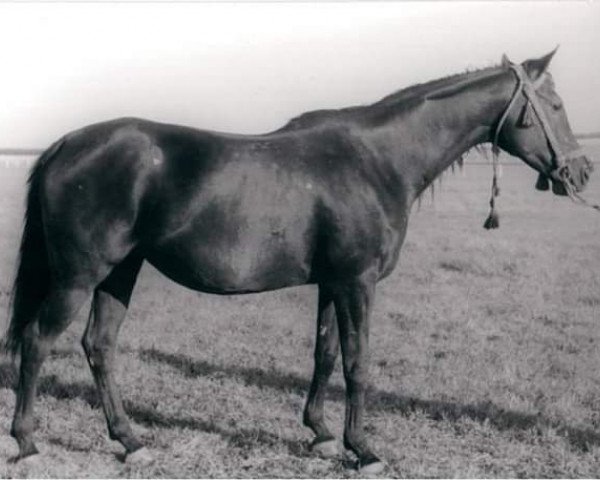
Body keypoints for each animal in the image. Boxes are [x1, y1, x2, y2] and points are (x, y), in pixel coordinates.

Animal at [3, 50, 596, 470]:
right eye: (557, 106)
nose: (580, 172)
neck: (378, 159)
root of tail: (65, 144)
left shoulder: (333, 284)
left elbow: (326, 354)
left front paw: (322, 434)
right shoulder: (357, 282)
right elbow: (358, 362)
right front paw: (363, 449)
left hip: (118, 273)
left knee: (99, 347)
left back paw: (131, 440)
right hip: (79, 276)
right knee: (38, 342)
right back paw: (27, 442)